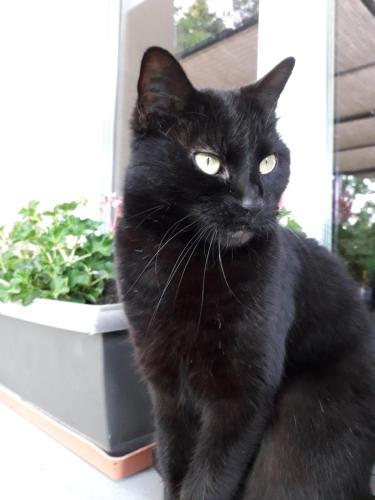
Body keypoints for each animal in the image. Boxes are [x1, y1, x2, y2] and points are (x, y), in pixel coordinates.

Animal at [116, 47, 375, 500]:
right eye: (208, 161)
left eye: (269, 162)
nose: (253, 203)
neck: (190, 262)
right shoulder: (164, 387)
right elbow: (174, 459)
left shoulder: (242, 396)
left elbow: (209, 480)